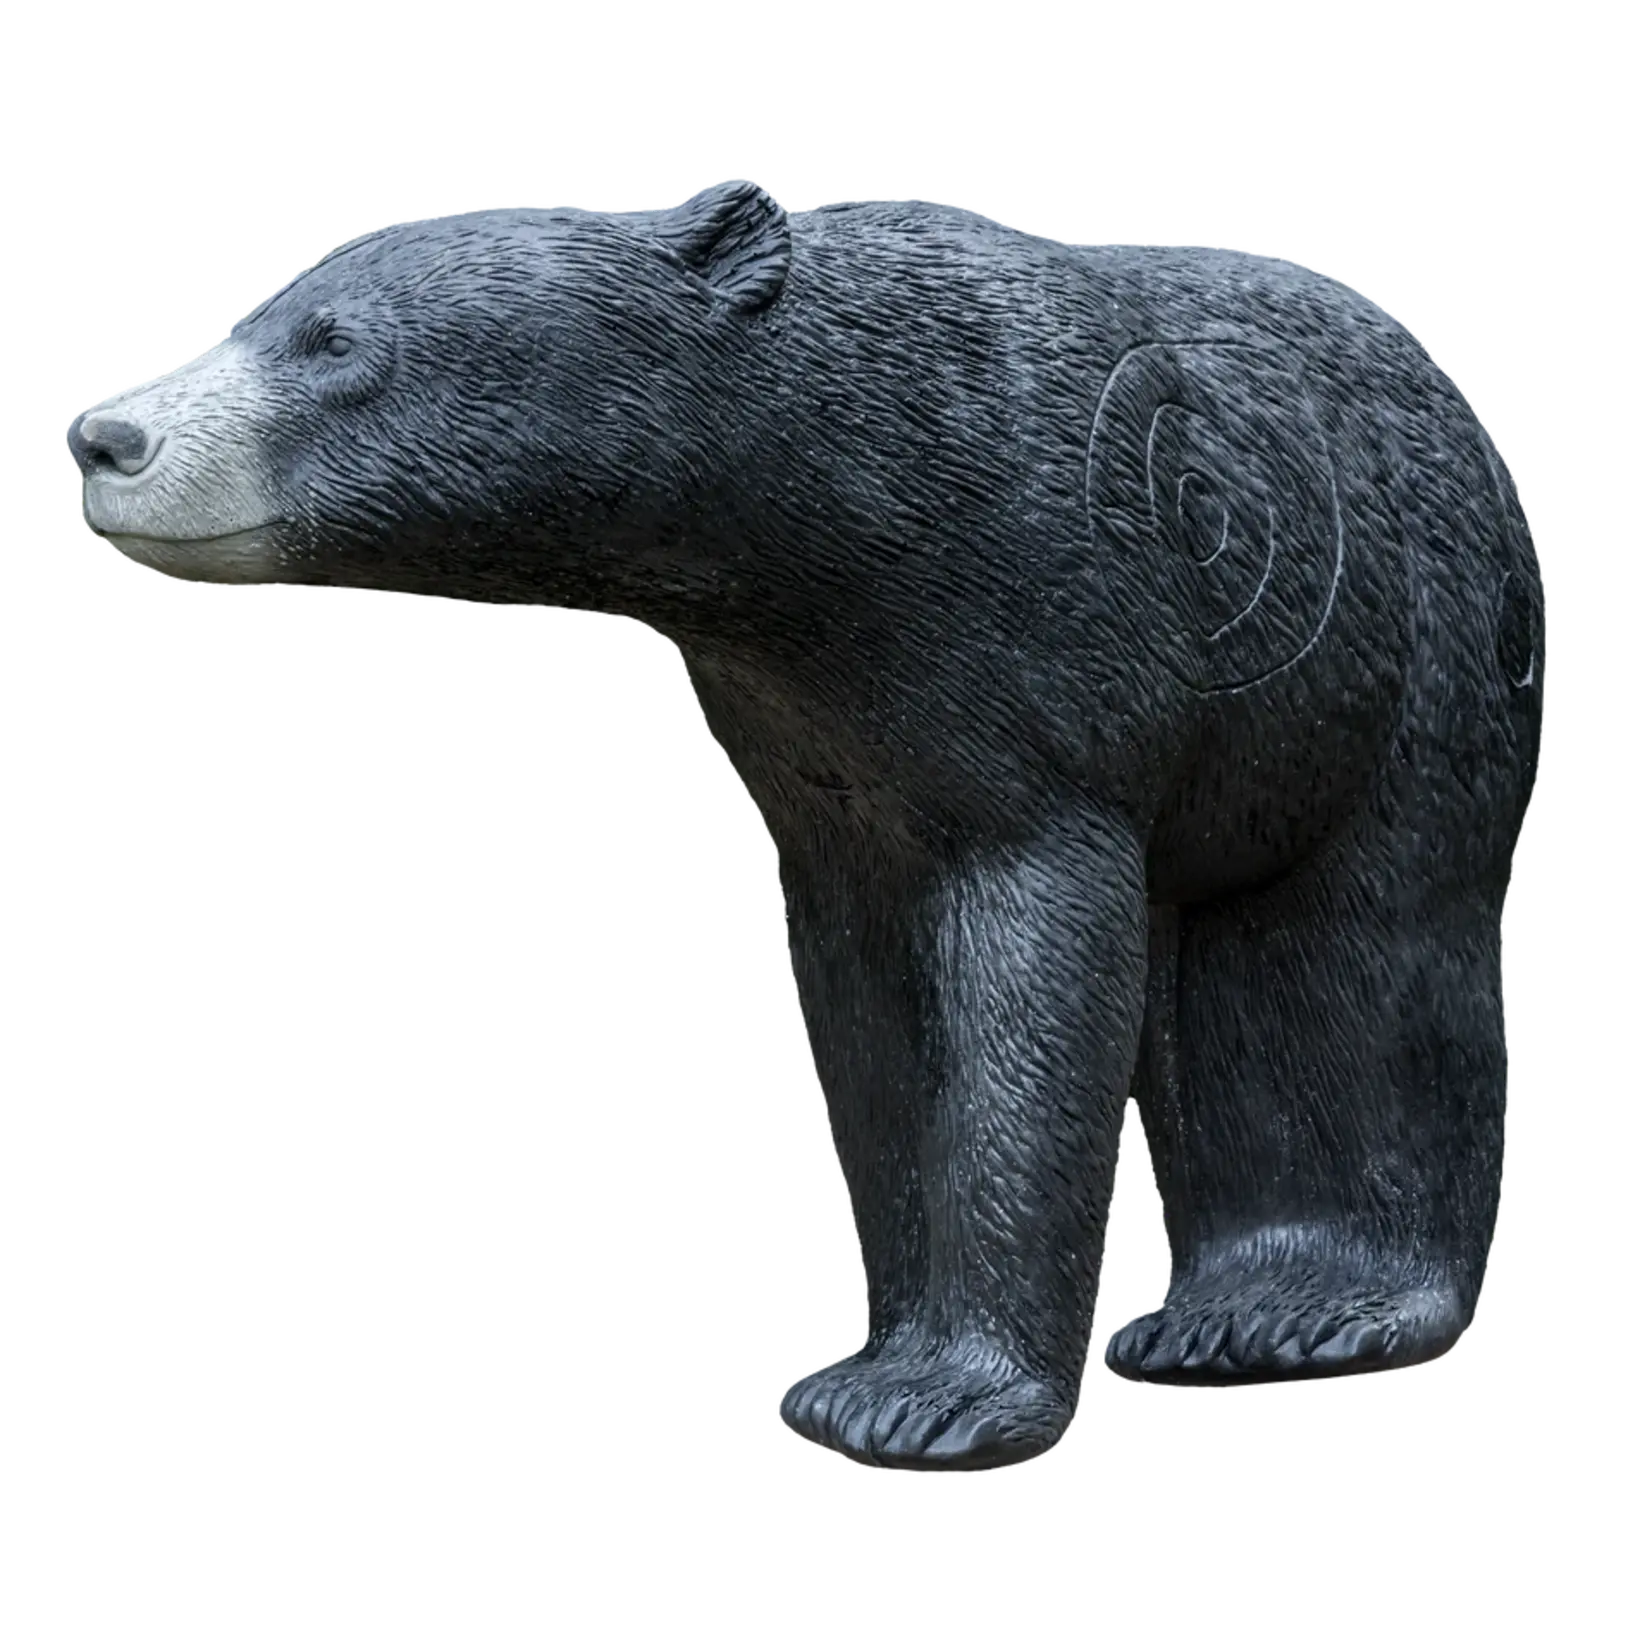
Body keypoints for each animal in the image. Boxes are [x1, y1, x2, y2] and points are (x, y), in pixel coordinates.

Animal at [61, 177, 1550, 1478]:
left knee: (1356, 946)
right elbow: (867, 1009)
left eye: (337, 343)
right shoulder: (814, 741)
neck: (836, 512)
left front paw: (947, 1400)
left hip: (1408, 658)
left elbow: (1029, 983)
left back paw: (1307, 1303)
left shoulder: (1047, 655)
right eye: (260, 306)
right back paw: (1229, 1305)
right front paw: (866, 1368)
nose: (101, 436)